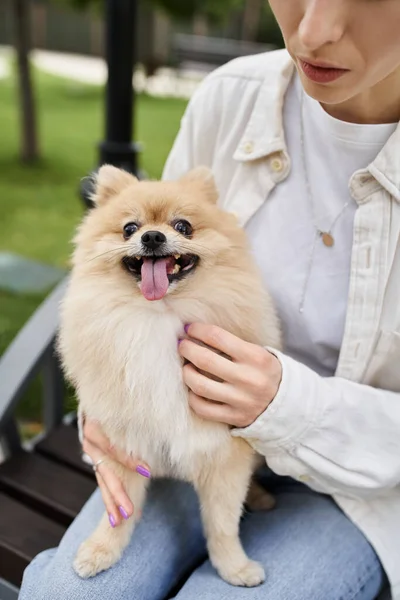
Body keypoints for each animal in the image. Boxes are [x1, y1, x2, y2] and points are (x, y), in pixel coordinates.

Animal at [59, 164, 282, 584]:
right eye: (129, 228)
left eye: (183, 226)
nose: (152, 236)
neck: (158, 317)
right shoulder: (124, 443)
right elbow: (120, 511)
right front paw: (101, 550)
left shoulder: (223, 452)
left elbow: (222, 522)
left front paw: (233, 566)